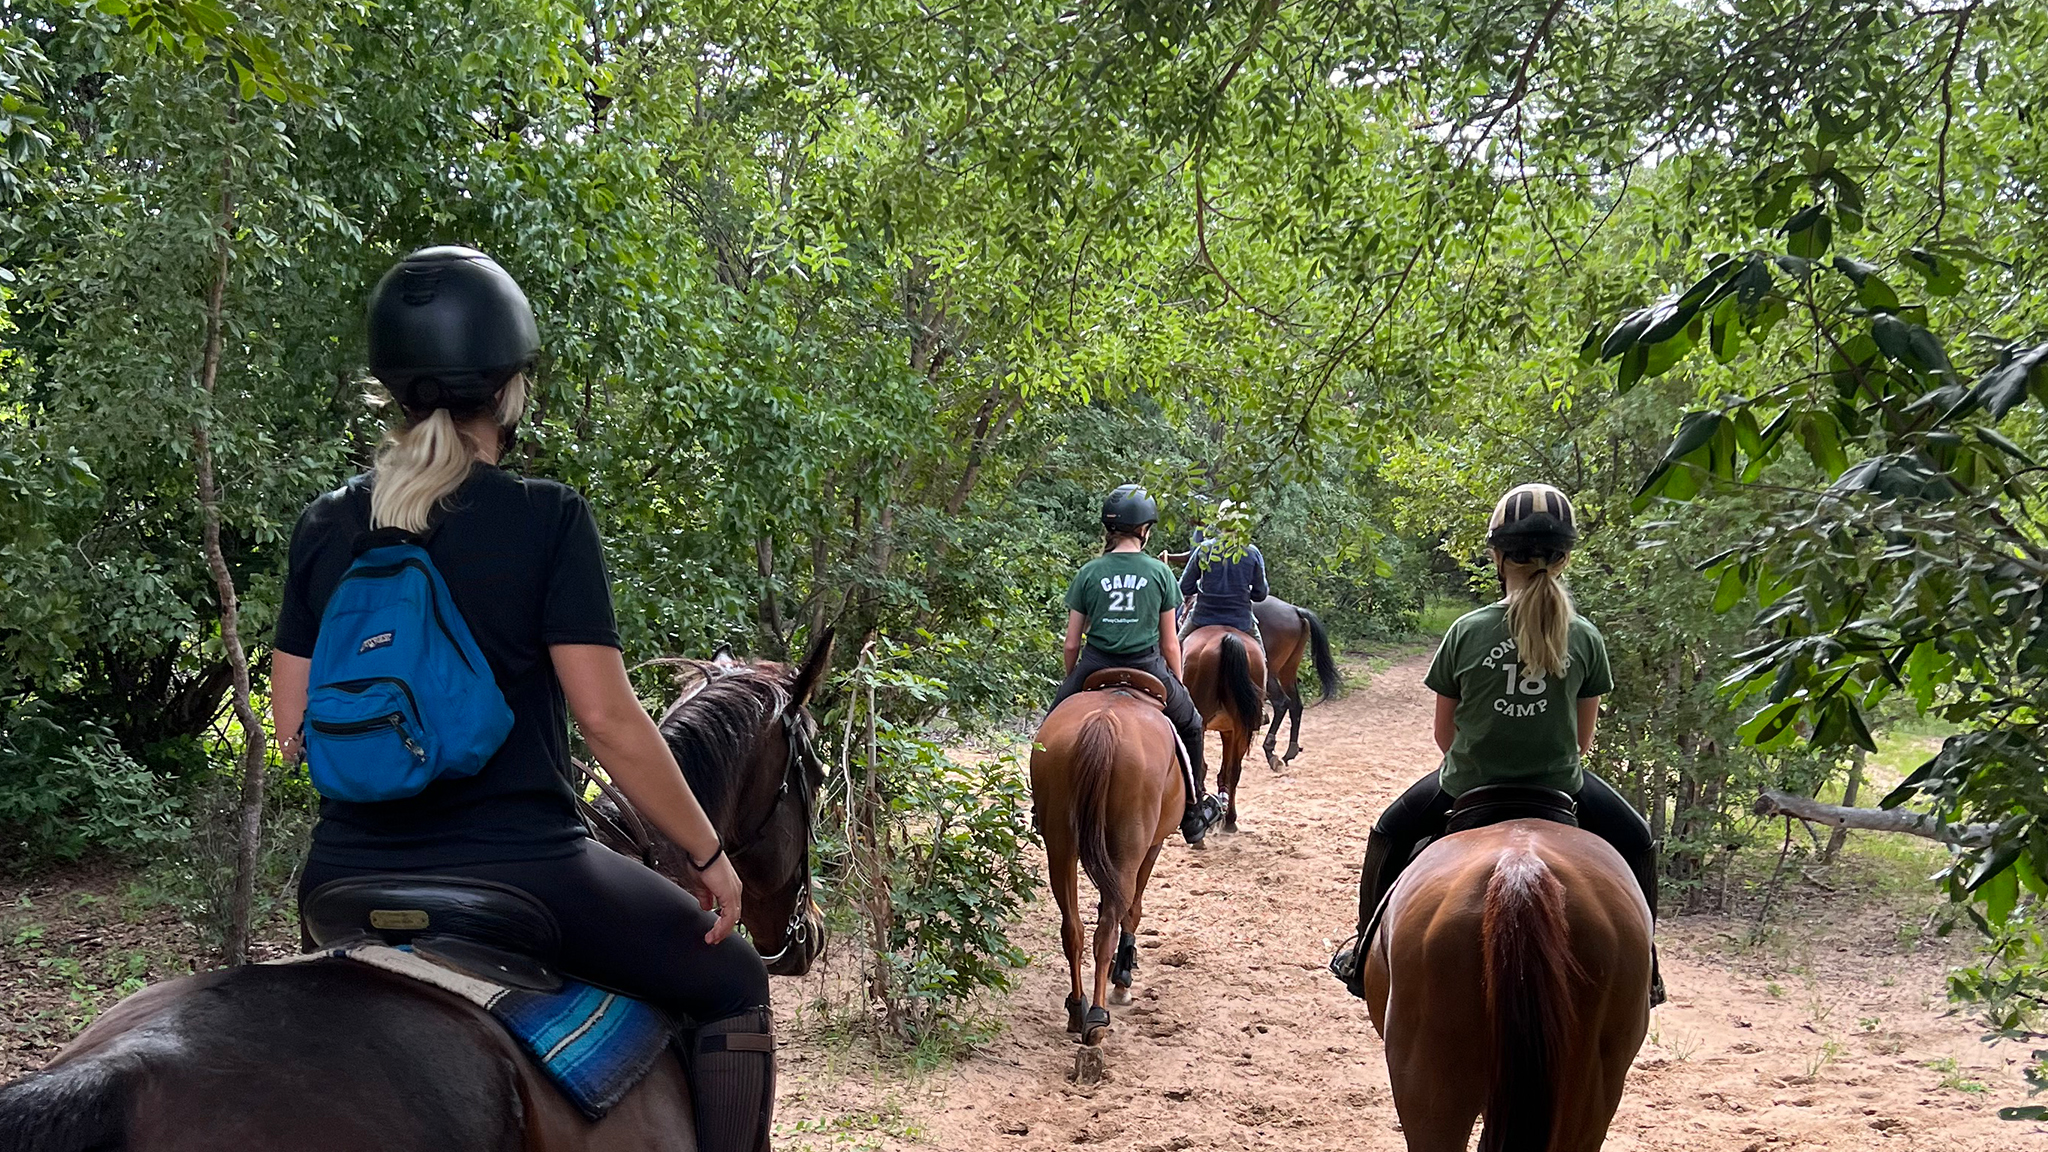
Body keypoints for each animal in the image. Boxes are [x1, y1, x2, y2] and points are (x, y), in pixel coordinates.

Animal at [1032, 668, 1179, 1045]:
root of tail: (1103, 722)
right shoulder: (1152, 846)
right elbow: (1134, 909)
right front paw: (1123, 975)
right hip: (1129, 846)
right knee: (1108, 926)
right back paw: (1098, 1017)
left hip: (1060, 845)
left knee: (1073, 928)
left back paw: (1077, 1009)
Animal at [1179, 623, 1253, 828]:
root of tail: (1228, 637)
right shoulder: (1230, 730)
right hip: (1242, 727)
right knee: (1233, 771)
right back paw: (1229, 819)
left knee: (1202, 767)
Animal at [1245, 590, 1343, 770]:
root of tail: (1295, 610)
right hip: (1287, 671)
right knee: (1296, 705)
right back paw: (1290, 751)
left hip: (1270, 673)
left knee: (1282, 703)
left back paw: (1270, 750)